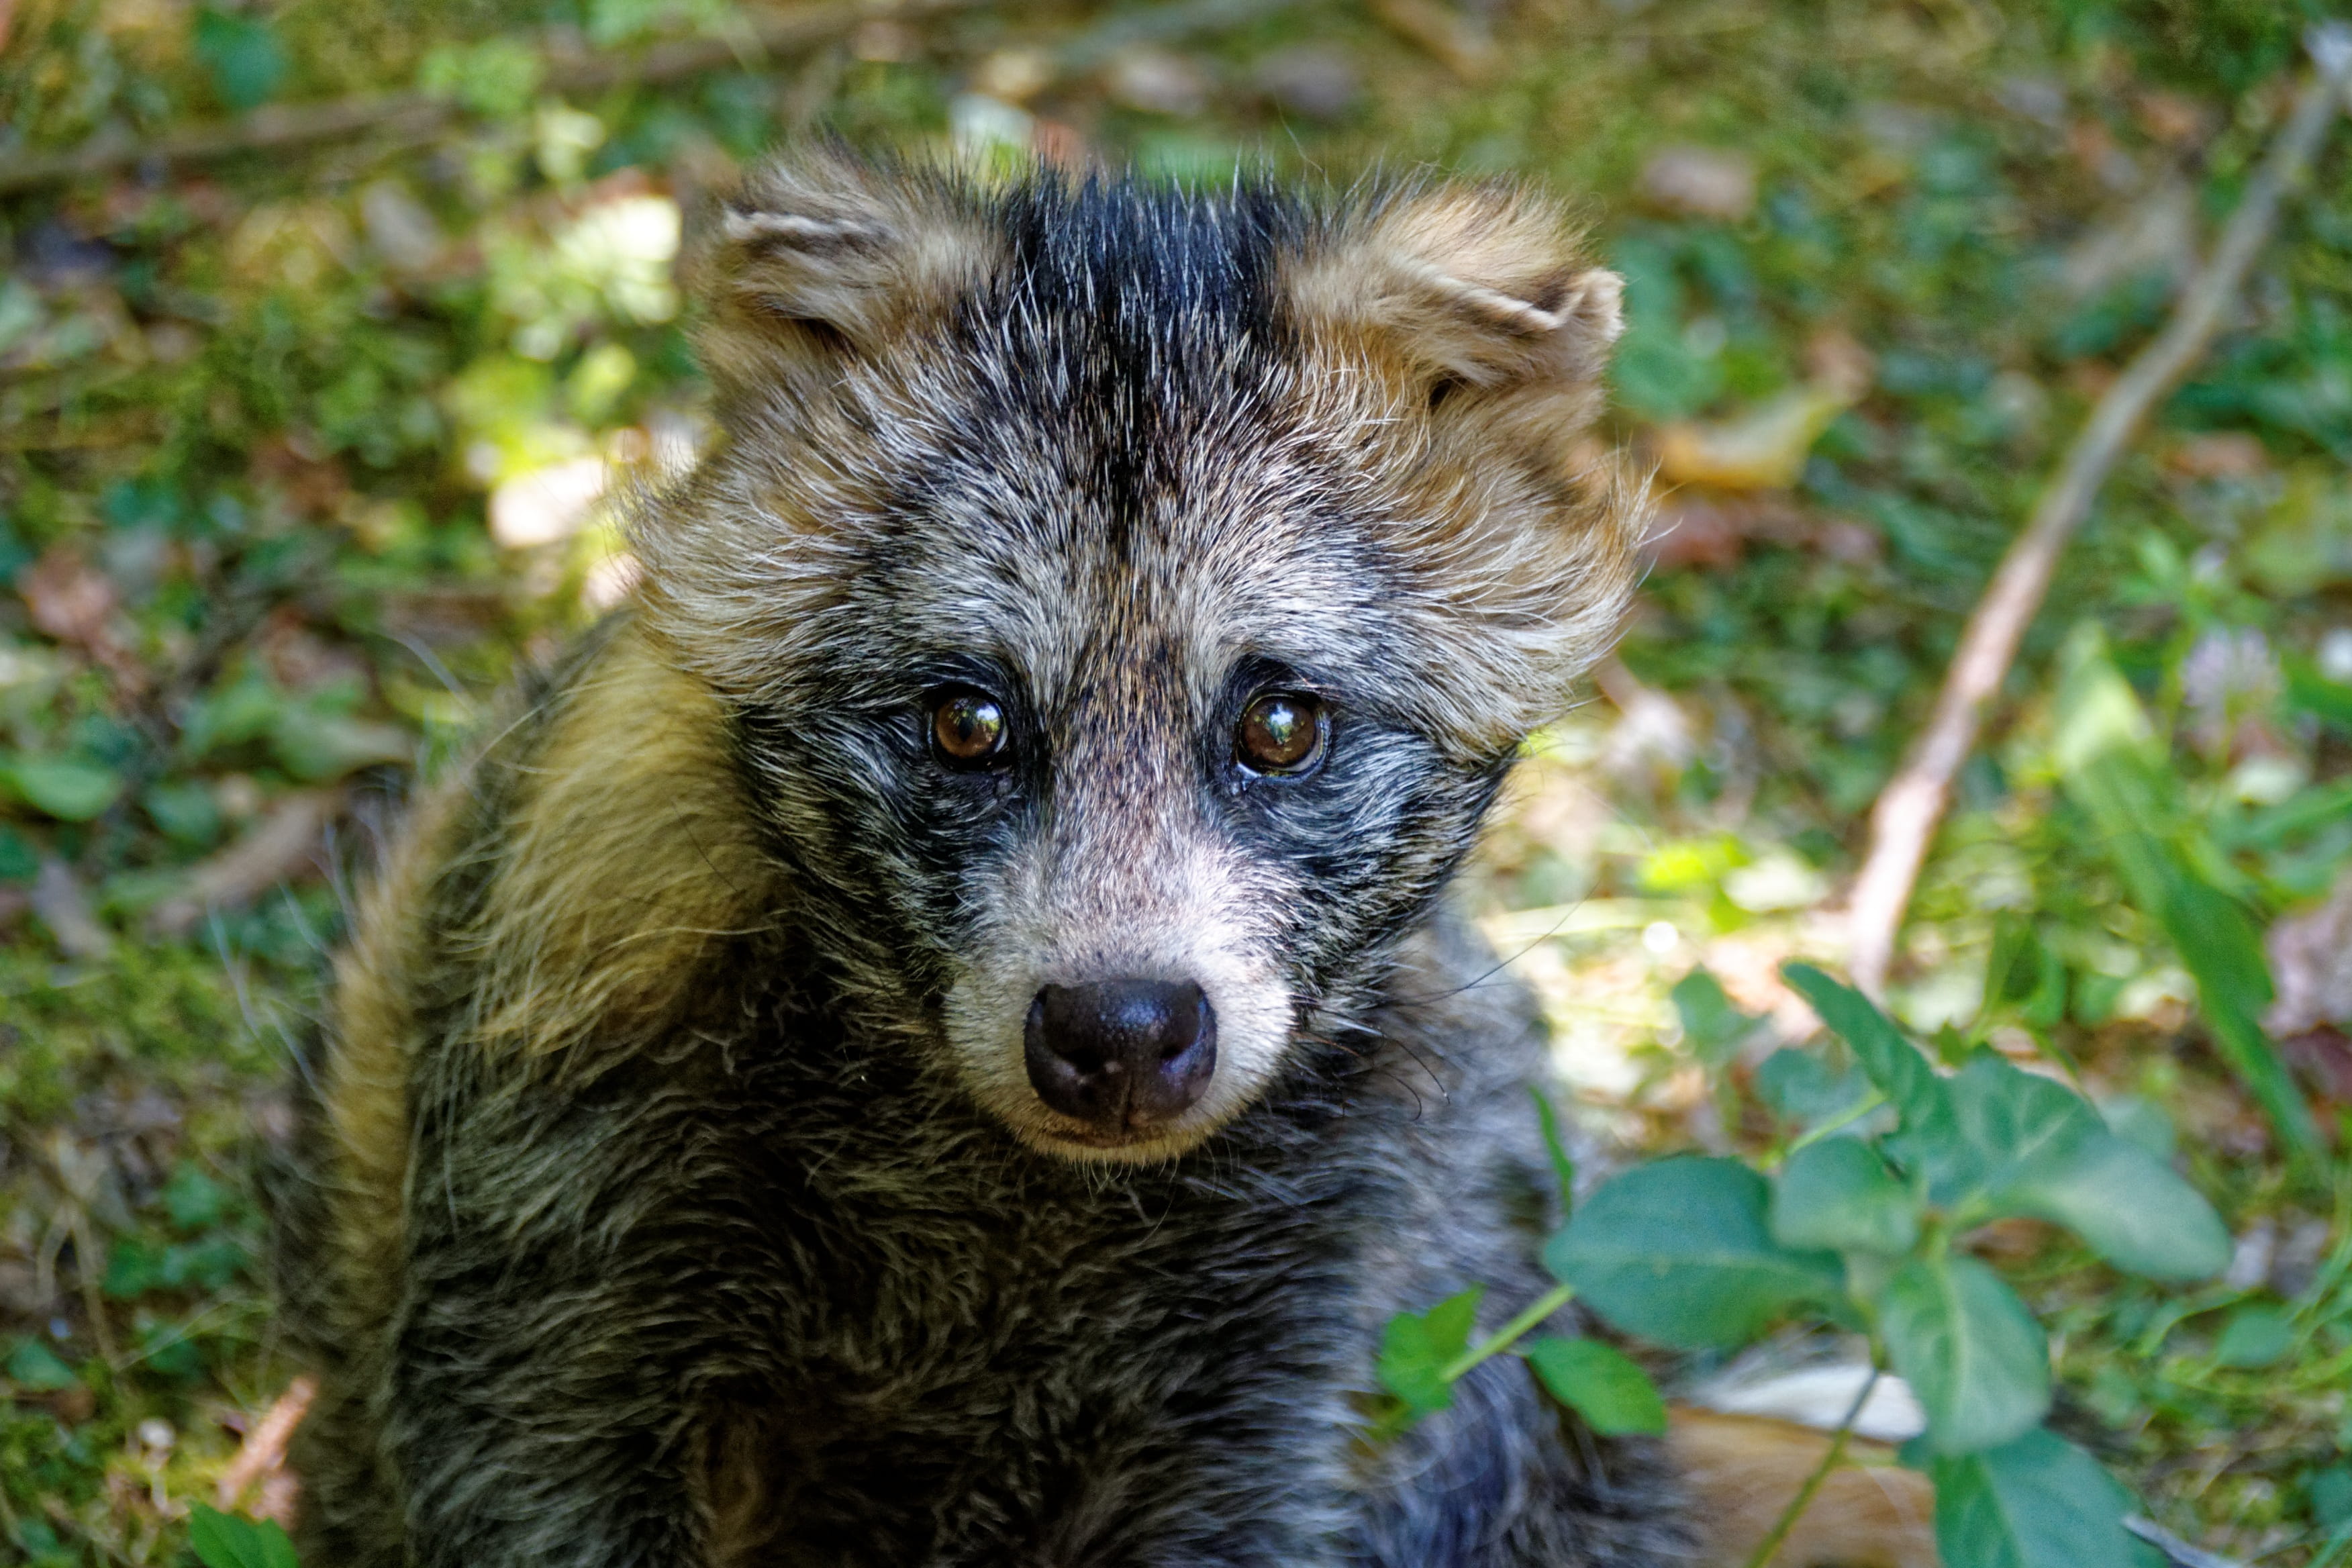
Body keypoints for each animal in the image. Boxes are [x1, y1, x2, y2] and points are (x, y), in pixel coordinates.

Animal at [278, 150, 1691, 1567]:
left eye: (1279, 725)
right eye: (967, 720)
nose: (1119, 1031)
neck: (1018, 1189)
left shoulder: (1312, 1302)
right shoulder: (555, 1178)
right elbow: (525, 1471)